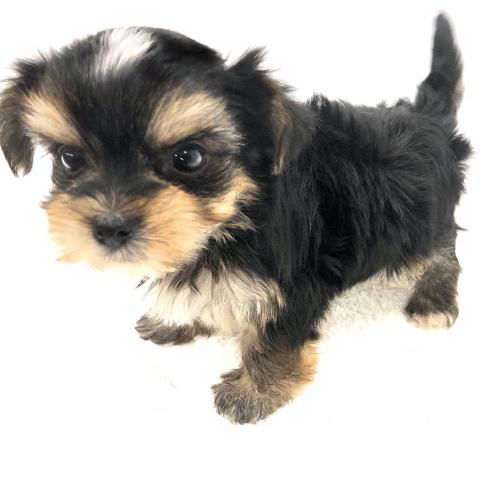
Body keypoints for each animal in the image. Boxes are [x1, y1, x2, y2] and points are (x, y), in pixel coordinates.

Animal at [0, 14, 471, 424]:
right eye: (70, 159)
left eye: (188, 157)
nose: (110, 226)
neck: (232, 220)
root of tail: (426, 116)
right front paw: (177, 322)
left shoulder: (295, 284)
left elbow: (276, 339)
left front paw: (254, 393)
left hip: (421, 223)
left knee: (443, 253)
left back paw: (434, 300)